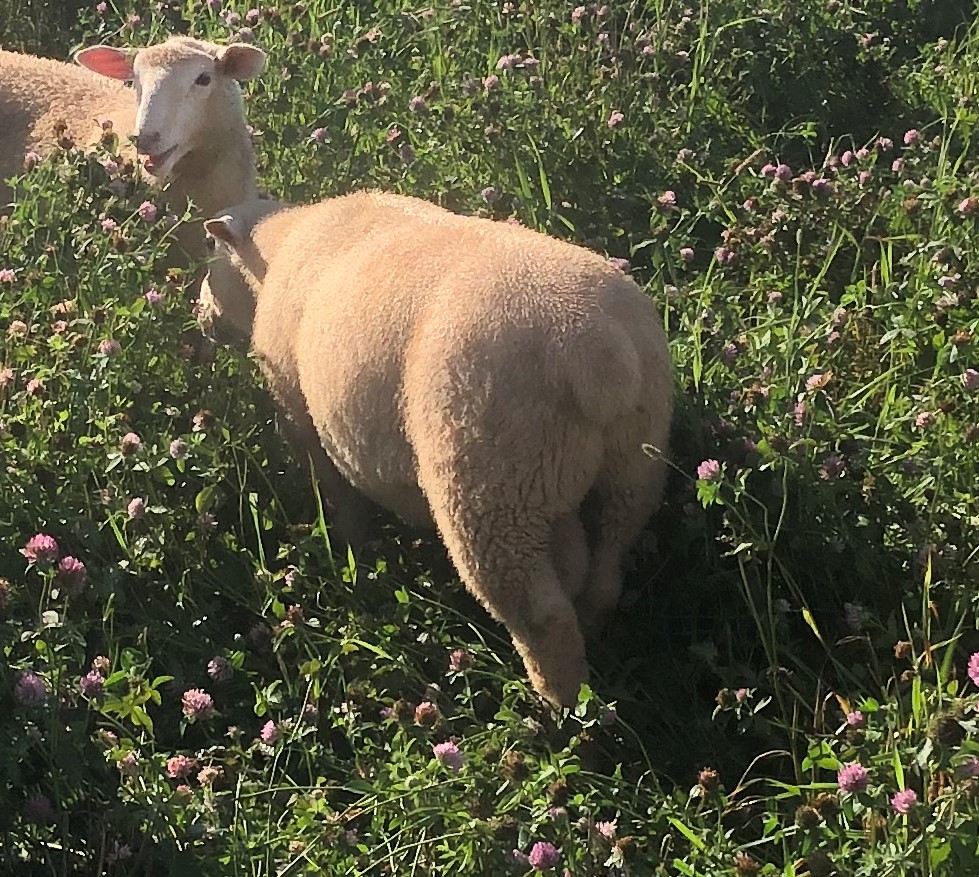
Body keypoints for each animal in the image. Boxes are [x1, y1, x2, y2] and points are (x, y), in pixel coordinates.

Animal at [199, 192, 672, 704]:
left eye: (209, 251)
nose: (201, 316)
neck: (277, 247)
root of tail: (600, 352)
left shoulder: (301, 415)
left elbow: (338, 497)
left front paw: (348, 550)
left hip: (492, 484)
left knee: (541, 616)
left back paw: (559, 707)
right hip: (627, 461)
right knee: (606, 562)